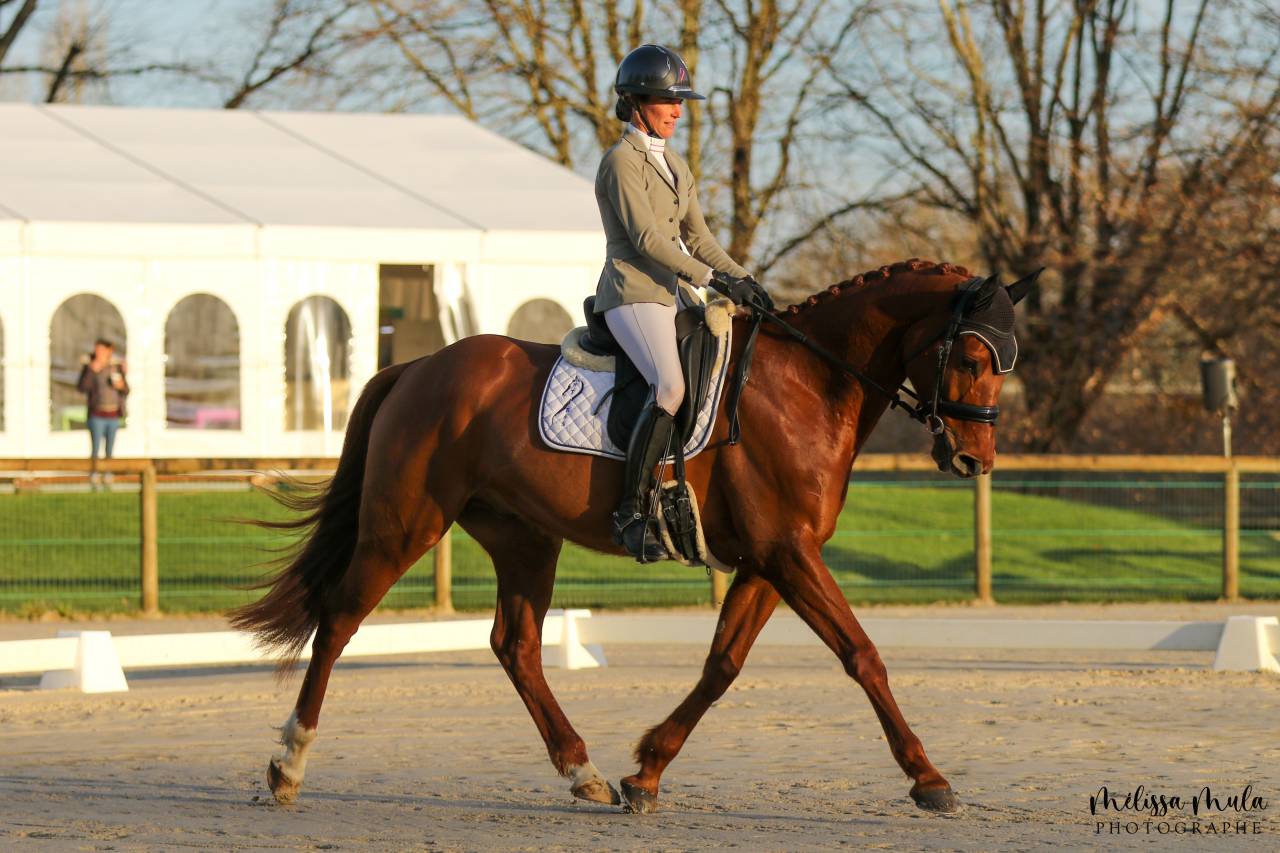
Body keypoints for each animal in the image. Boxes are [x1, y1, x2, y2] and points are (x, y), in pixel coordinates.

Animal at [231, 258, 1032, 814]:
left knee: (516, 646)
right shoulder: (789, 553)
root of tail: (417, 366)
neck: (808, 384)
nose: (975, 461)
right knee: (339, 620)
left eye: (1008, 361)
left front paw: (645, 770)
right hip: (405, 524)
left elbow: (721, 665)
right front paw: (929, 778)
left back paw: (581, 772)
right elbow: (863, 656)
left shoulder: (768, 561)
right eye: (970, 358)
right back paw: (287, 765)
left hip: (524, 537)